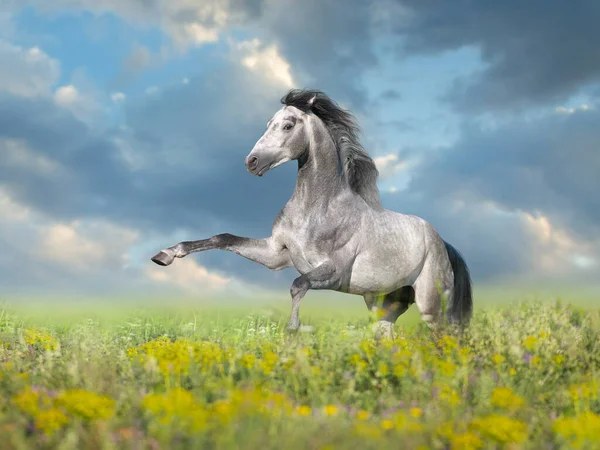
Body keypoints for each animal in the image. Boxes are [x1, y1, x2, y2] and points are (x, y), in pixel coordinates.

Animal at [151, 89, 474, 338]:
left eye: (288, 125)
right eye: (269, 123)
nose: (251, 162)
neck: (315, 209)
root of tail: (443, 243)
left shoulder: (333, 272)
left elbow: (298, 284)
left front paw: (292, 331)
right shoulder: (276, 254)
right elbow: (223, 238)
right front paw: (166, 254)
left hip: (431, 304)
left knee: (447, 336)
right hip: (382, 305)